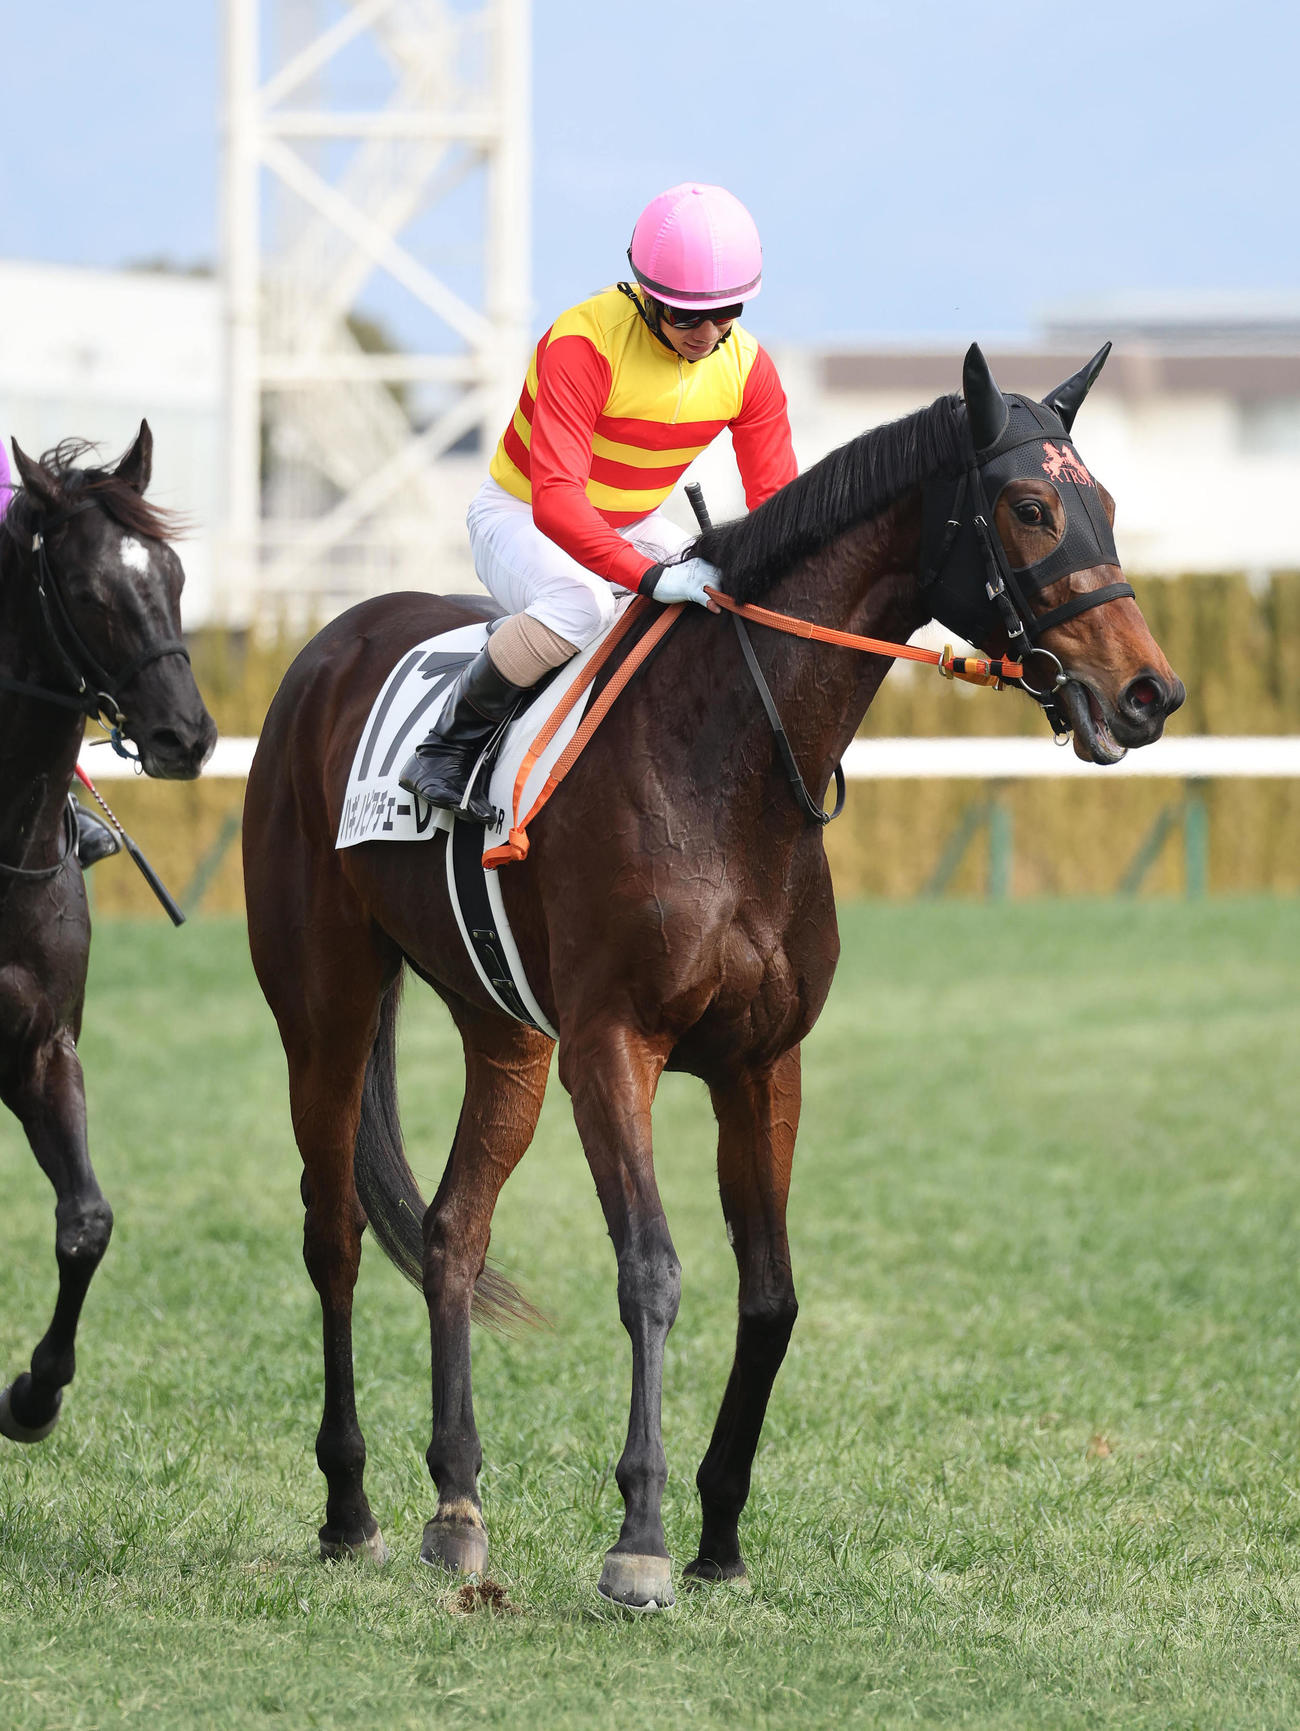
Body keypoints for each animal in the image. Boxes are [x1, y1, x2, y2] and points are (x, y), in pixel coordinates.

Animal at [242, 345, 1184, 1607]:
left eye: (1106, 505)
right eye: (1029, 507)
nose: (1148, 694)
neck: (728, 767)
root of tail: (331, 641)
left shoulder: (761, 1061)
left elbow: (770, 1291)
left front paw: (720, 1533)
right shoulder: (613, 1049)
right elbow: (650, 1269)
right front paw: (639, 1539)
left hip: (505, 1031)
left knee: (450, 1232)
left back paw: (457, 1504)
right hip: (326, 997)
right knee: (334, 1231)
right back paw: (350, 1507)